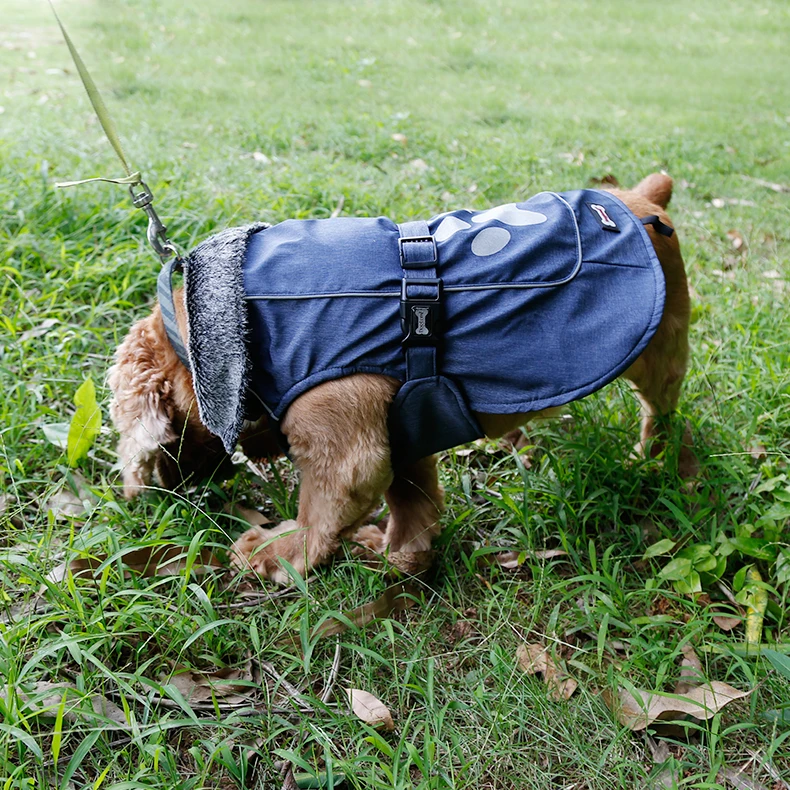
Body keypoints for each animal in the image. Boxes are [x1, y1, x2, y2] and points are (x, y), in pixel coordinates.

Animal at [110, 176, 692, 584]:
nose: (179, 496)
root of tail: (641, 200)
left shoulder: (344, 454)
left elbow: (317, 516)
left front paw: (279, 554)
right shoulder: (405, 432)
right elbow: (414, 507)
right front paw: (397, 557)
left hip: (661, 355)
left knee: (663, 414)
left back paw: (654, 461)